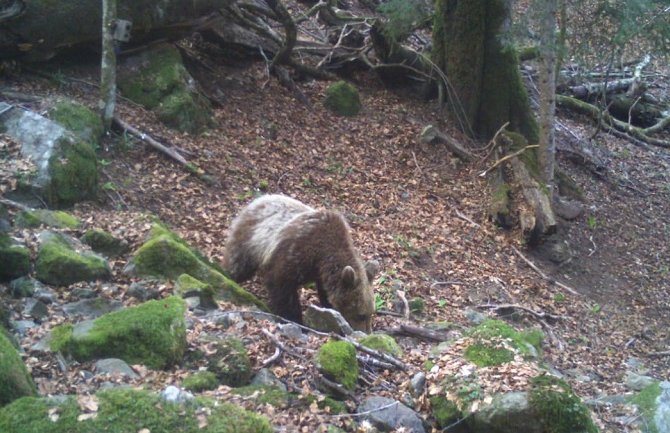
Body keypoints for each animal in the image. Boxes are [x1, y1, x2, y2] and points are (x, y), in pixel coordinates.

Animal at [223, 194, 380, 332]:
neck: (322, 255)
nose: (366, 332)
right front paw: (295, 320)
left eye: (371, 313)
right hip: (250, 239)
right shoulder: (295, 251)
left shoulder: (320, 273)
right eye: (361, 315)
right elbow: (282, 287)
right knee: (238, 264)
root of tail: (255, 201)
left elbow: (324, 292)